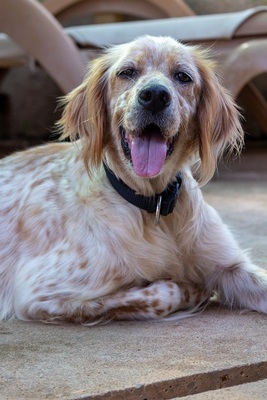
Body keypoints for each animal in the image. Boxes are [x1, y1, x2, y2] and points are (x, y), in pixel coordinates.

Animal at [0, 36, 267, 324]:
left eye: (182, 76)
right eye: (127, 72)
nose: (155, 96)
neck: (154, 207)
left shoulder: (229, 263)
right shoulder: (39, 291)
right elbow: (162, 294)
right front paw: (191, 290)